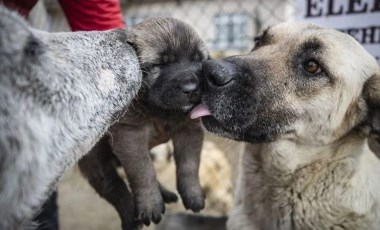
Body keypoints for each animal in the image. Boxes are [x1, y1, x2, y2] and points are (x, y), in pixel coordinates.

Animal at [77, 17, 208, 229]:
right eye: (159, 65)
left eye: (198, 60)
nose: (192, 88)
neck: (159, 111)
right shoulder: (130, 135)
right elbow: (142, 170)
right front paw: (150, 204)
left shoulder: (190, 129)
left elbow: (189, 164)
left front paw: (193, 194)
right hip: (95, 158)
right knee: (114, 186)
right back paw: (131, 218)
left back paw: (165, 194)